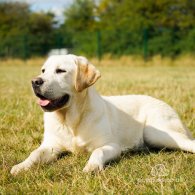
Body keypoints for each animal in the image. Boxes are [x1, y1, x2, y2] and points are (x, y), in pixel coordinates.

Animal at [11, 53, 195, 175]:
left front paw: (91, 167)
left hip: (154, 133)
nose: (35, 82)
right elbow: (34, 154)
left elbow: (97, 152)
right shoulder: (51, 145)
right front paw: (20, 167)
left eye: (60, 71)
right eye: (43, 70)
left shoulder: (111, 145)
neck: (71, 121)